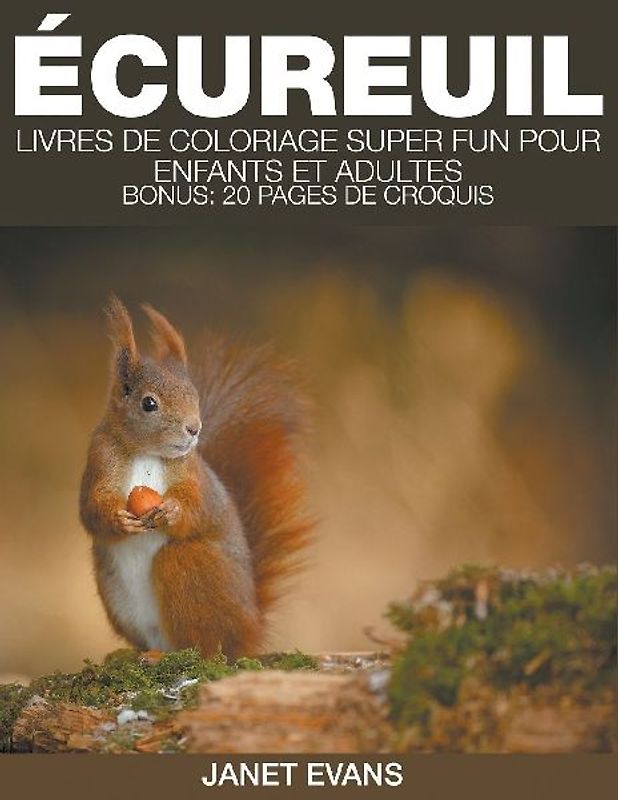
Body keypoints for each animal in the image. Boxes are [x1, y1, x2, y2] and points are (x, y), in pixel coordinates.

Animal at [80, 296, 312, 659]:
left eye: (194, 395)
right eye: (149, 403)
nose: (194, 429)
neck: (146, 453)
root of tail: (250, 631)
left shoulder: (194, 476)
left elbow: (198, 508)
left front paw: (173, 511)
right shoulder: (99, 461)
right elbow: (91, 510)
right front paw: (118, 519)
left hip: (189, 566)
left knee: (204, 643)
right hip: (114, 591)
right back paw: (144, 654)